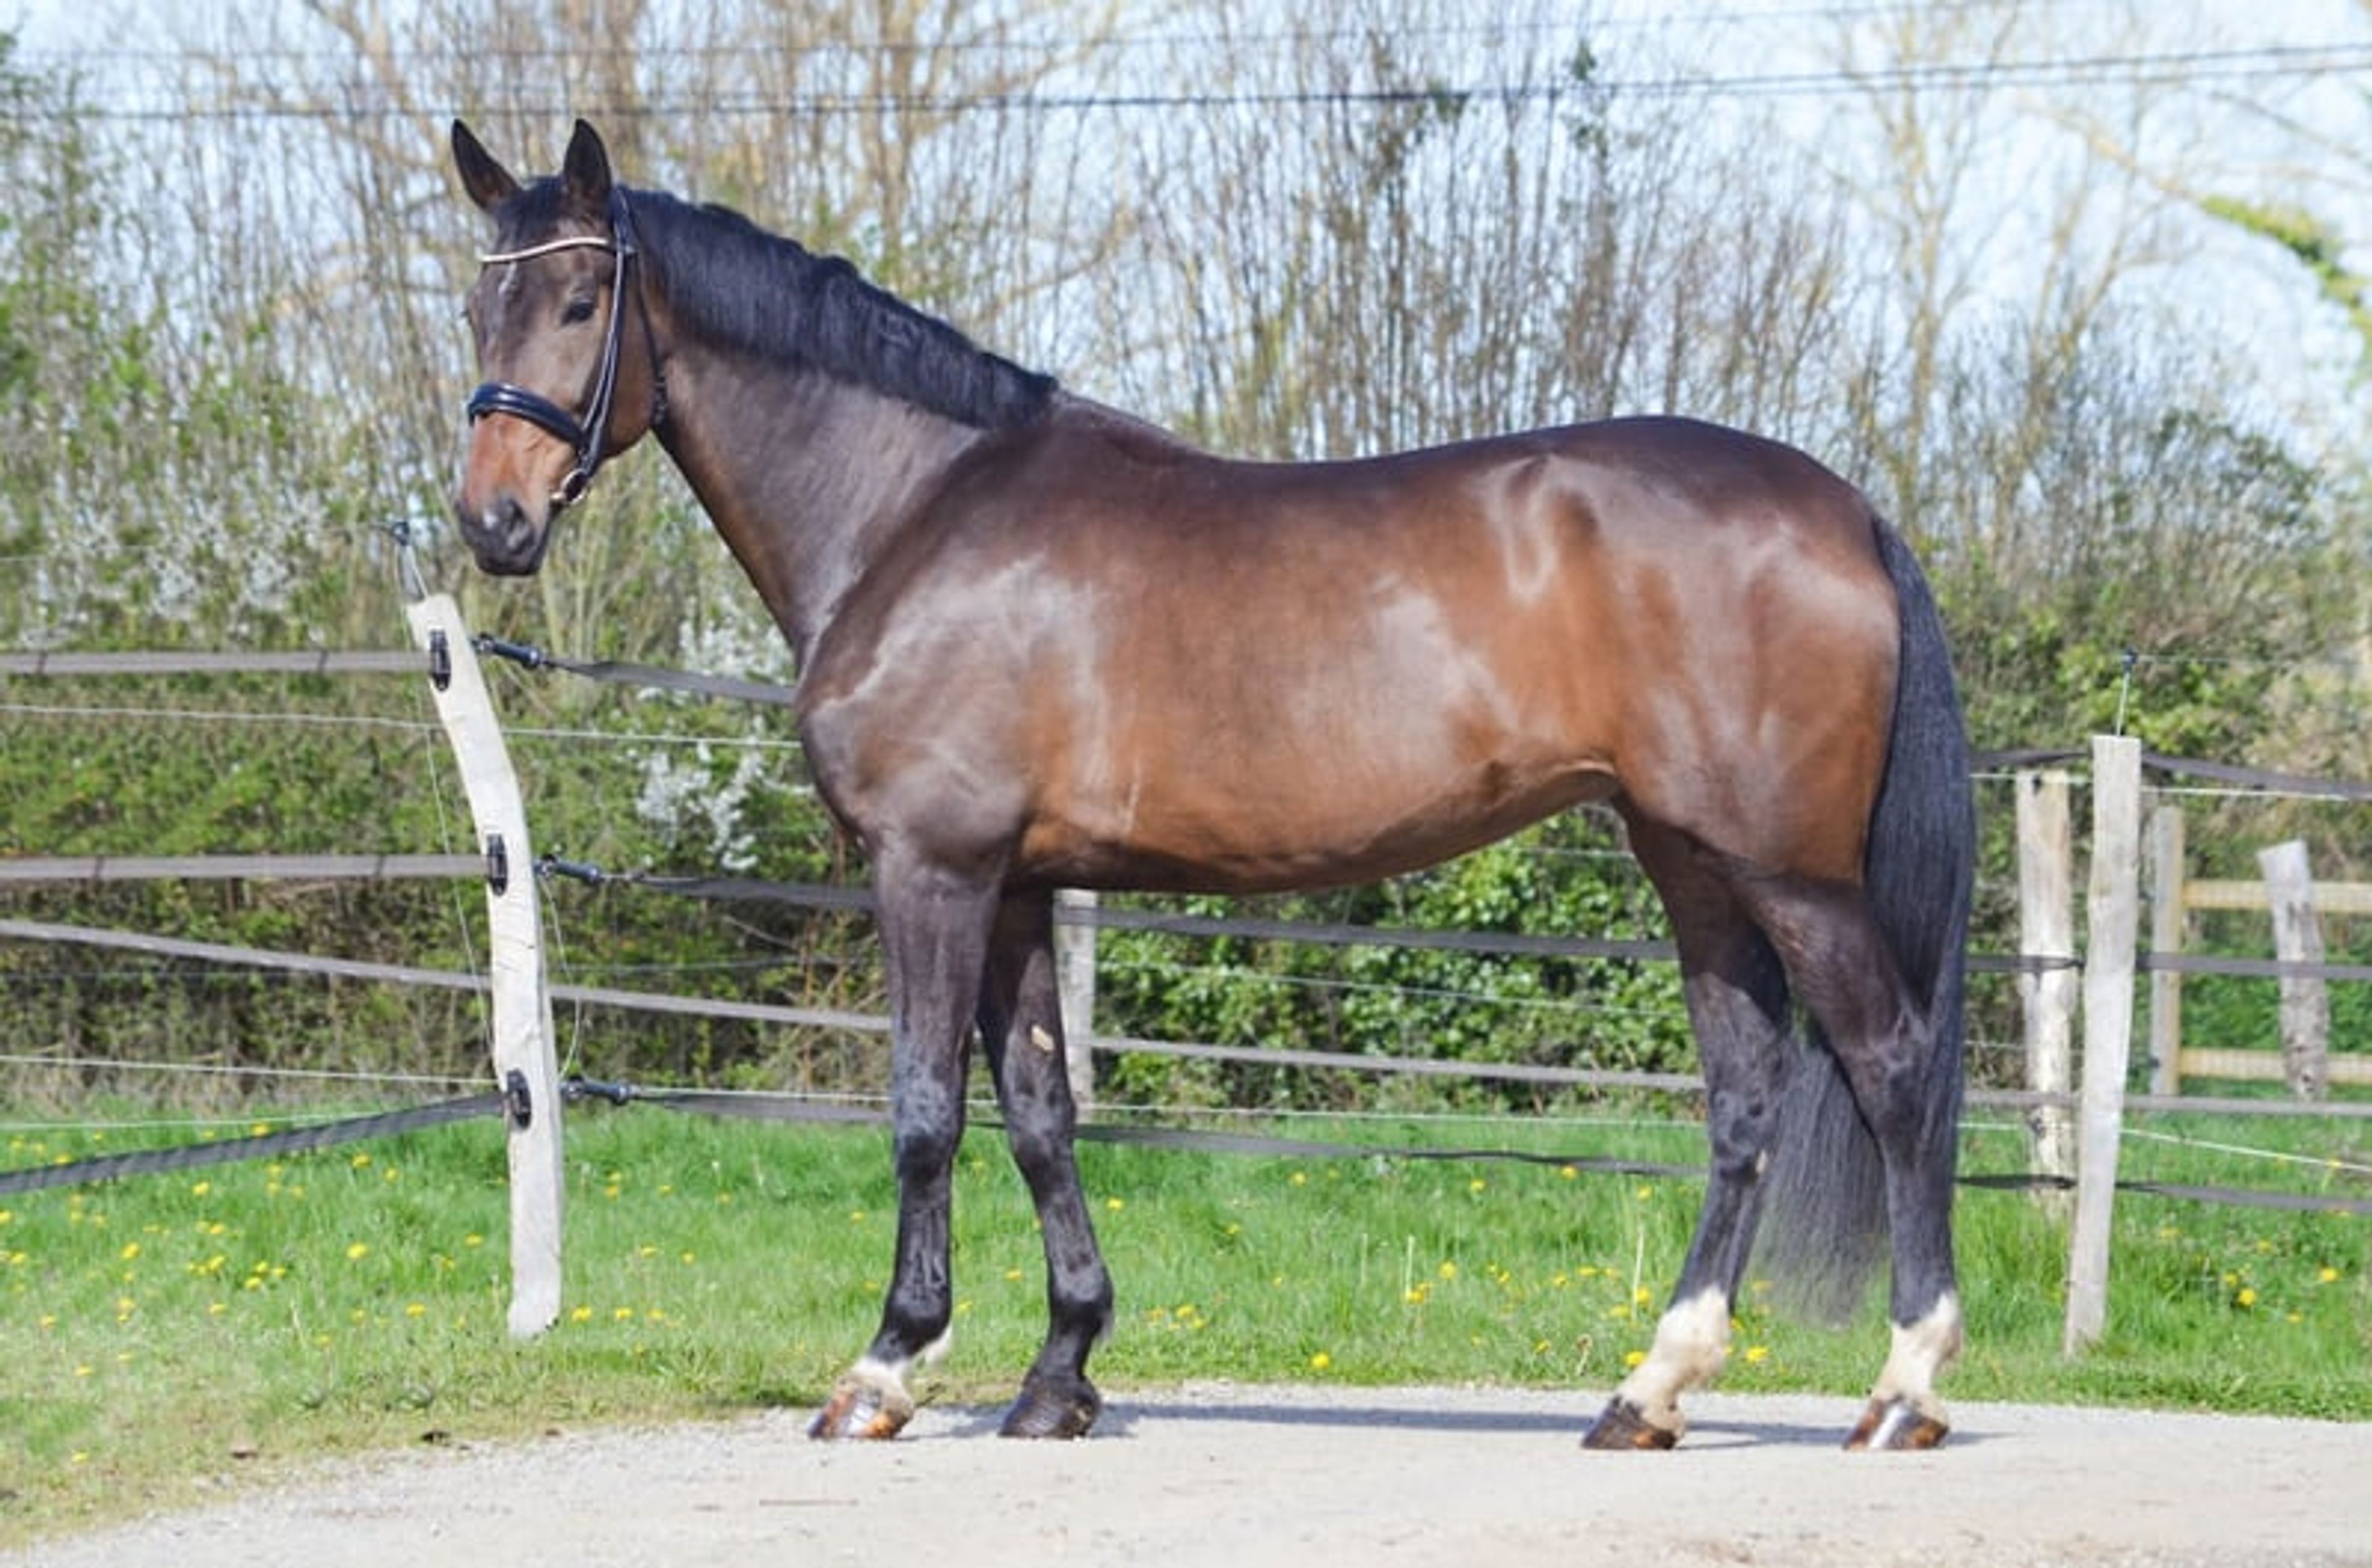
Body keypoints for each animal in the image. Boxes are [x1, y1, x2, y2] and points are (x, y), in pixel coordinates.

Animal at [448, 118, 1976, 1452]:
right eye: (478, 306)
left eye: (582, 298)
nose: (492, 521)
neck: (916, 511)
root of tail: (1849, 509)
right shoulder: (1017, 887)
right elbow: (1043, 1118)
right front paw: (1059, 1374)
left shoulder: (932, 869)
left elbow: (926, 1114)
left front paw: (884, 1368)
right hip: (1691, 862)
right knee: (1747, 1101)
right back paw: (1650, 1390)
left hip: (1788, 874)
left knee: (1896, 1070)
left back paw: (1901, 1391)